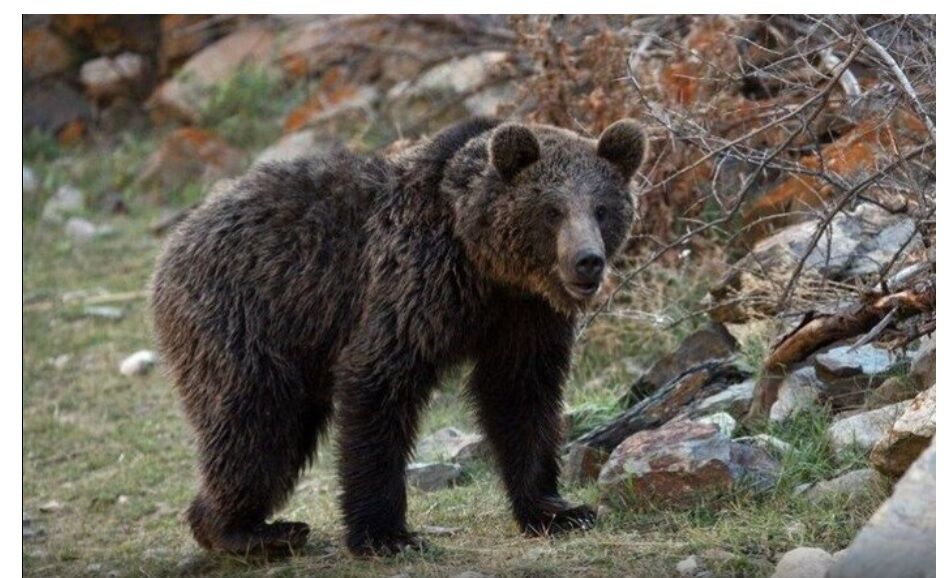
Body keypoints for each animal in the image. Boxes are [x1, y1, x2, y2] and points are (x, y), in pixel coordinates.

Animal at [152, 116, 648, 552]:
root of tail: (179, 236)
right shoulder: (413, 285)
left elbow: (521, 397)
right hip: (247, 317)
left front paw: (558, 511)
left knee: (280, 435)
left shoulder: (526, 318)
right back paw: (244, 531)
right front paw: (386, 534)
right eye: (551, 210)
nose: (587, 262)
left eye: (602, 208)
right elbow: (379, 384)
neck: (484, 266)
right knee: (255, 423)